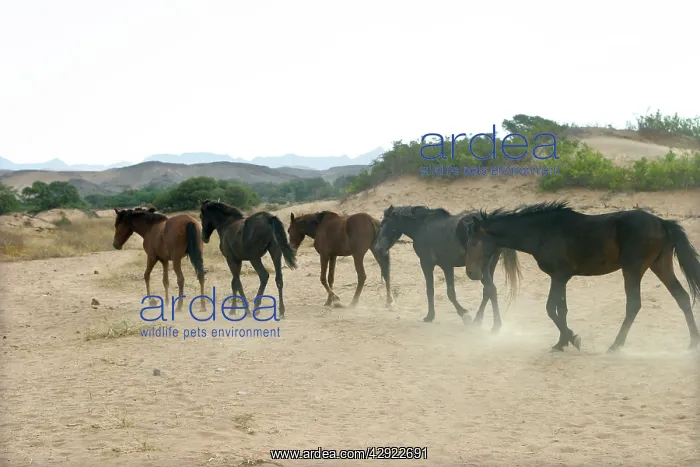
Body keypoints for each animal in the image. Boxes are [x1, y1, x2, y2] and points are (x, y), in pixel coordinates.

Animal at [374, 205, 522, 331]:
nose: (379, 248)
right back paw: (478, 320)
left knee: (490, 289)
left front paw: (435, 316)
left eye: (384, 223)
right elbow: (448, 292)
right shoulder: (447, 266)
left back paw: (495, 325)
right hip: (488, 267)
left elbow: (435, 291)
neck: (422, 227)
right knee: (487, 291)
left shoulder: (428, 264)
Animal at [459, 200, 700, 353]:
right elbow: (562, 309)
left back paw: (616, 345)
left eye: (473, 242)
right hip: (660, 265)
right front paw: (561, 343)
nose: (471, 273)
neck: (541, 231)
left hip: (632, 270)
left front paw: (573, 339)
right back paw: (692, 342)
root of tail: (663, 223)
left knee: (634, 305)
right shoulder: (561, 278)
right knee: (682, 297)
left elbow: (551, 308)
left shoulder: (559, 276)